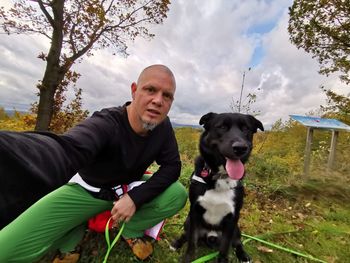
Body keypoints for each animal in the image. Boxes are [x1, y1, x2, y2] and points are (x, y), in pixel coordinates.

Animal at [171, 112, 264, 262]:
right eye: (222, 127)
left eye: (246, 129)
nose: (240, 148)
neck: (220, 176)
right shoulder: (195, 211)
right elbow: (191, 241)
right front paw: (188, 258)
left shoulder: (232, 218)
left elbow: (225, 246)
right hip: (188, 220)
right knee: (186, 234)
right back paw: (176, 243)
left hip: (237, 228)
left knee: (237, 242)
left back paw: (243, 255)